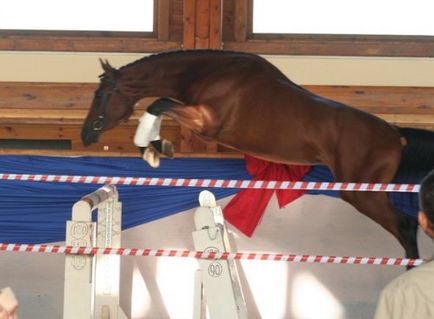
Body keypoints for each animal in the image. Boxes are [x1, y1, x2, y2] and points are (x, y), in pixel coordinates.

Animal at [82, 49, 434, 260]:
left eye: (100, 95)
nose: (86, 135)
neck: (210, 73)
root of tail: (395, 134)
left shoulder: (206, 122)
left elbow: (159, 103)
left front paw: (152, 148)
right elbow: (161, 105)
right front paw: (155, 148)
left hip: (363, 193)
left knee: (405, 225)